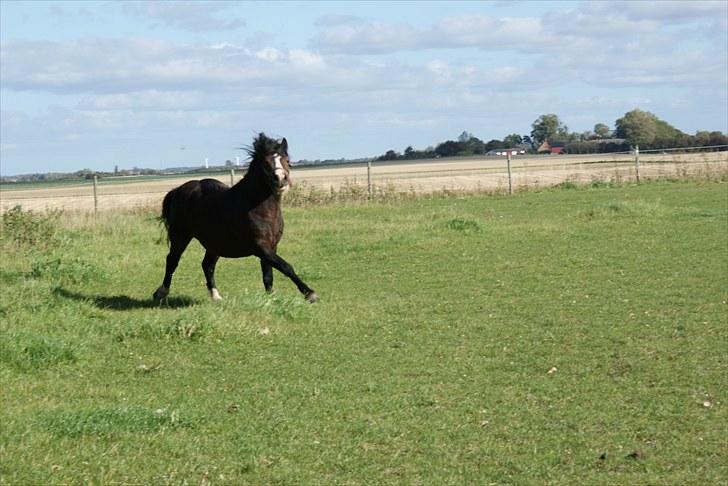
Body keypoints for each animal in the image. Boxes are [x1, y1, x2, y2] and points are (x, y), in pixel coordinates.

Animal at [153, 133, 318, 304]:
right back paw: (161, 292)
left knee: (207, 265)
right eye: (265, 162)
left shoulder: (271, 246)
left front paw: (271, 298)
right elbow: (286, 267)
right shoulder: (260, 247)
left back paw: (216, 296)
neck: (259, 209)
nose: (281, 179)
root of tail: (178, 190)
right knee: (172, 260)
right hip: (180, 236)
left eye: (287, 160)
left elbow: (268, 275)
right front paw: (310, 293)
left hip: (214, 244)